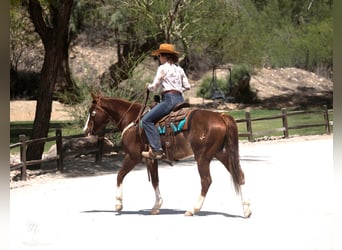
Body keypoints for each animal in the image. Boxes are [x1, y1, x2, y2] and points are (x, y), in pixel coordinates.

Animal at [83, 92, 251, 217]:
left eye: (92, 112)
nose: (86, 131)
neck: (133, 120)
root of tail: (220, 116)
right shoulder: (151, 159)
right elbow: (155, 181)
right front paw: (156, 206)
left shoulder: (133, 157)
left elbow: (119, 175)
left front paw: (118, 204)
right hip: (220, 154)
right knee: (239, 175)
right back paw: (246, 209)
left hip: (202, 157)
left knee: (206, 181)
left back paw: (193, 209)